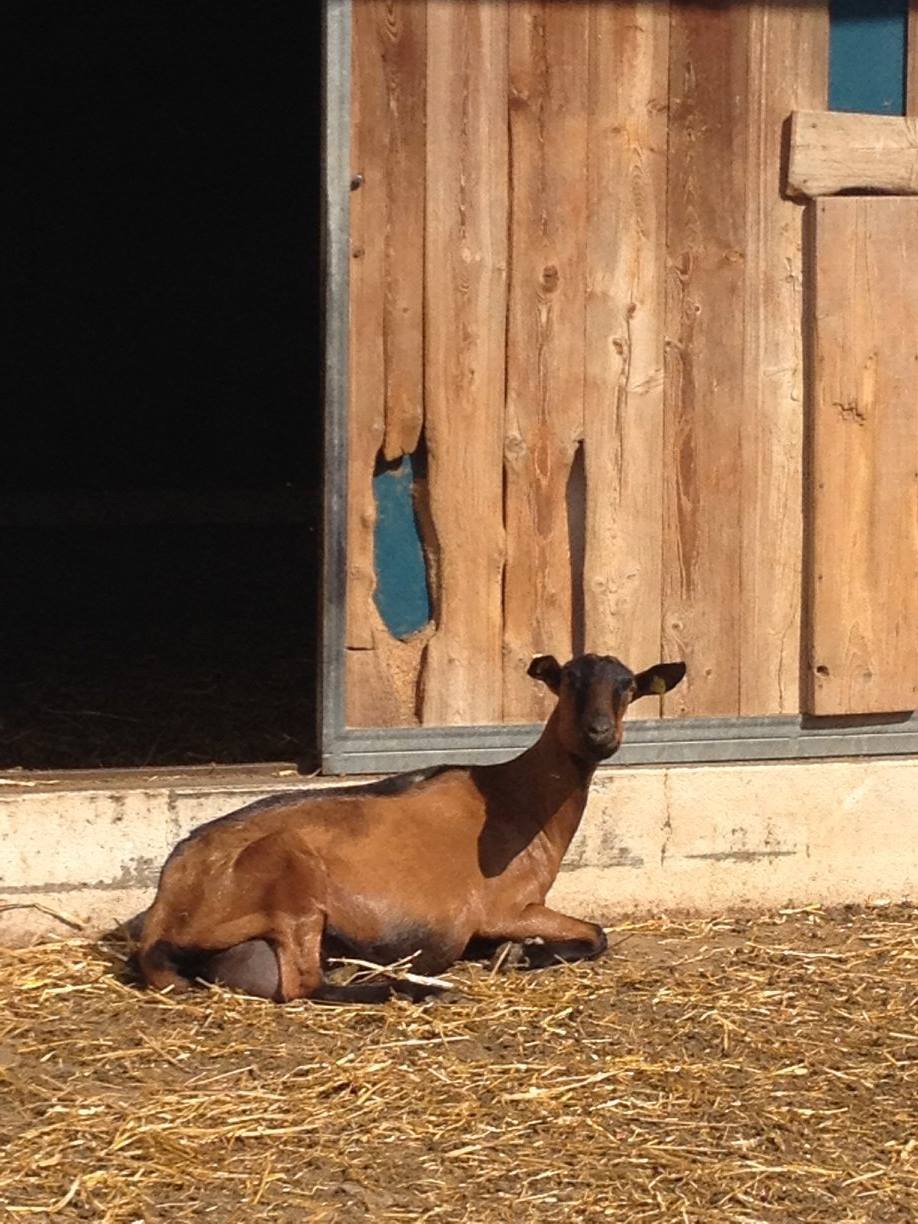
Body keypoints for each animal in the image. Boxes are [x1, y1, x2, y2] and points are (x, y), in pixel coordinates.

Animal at [136, 656, 685, 998]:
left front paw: (514, 954)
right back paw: (418, 990)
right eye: (567, 680)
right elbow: (597, 934)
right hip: (291, 879)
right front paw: (520, 957)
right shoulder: (505, 908)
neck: (517, 798)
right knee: (303, 986)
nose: (599, 733)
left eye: (629, 687)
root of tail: (166, 908)